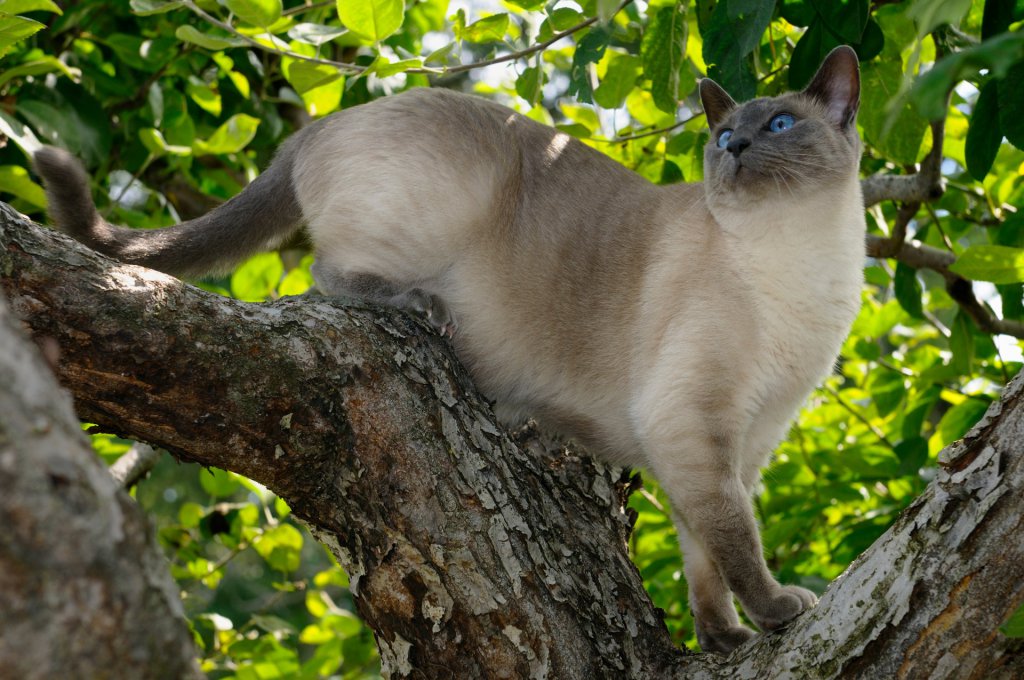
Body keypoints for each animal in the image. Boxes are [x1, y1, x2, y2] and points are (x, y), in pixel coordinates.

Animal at [34, 46, 864, 655]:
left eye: (779, 125)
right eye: (725, 139)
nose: (738, 147)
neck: (802, 262)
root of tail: (325, 123)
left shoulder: (741, 444)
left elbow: (706, 556)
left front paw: (723, 639)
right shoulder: (691, 424)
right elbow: (736, 542)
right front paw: (778, 611)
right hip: (432, 213)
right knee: (324, 273)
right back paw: (419, 309)